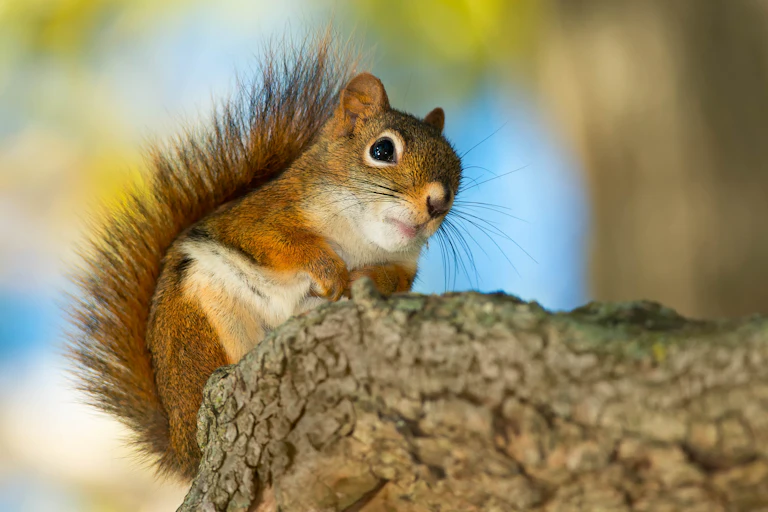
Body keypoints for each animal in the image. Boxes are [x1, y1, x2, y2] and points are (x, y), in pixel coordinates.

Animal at [67, 32, 462, 481]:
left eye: (458, 172)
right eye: (382, 150)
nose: (437, 203)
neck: (361, 238)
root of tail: (181, 446)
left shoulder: (403, 264)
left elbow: (393, 279)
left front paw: (365, 280)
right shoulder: (258, 217)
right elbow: (281, 243)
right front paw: (330, 271)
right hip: (200, 323)